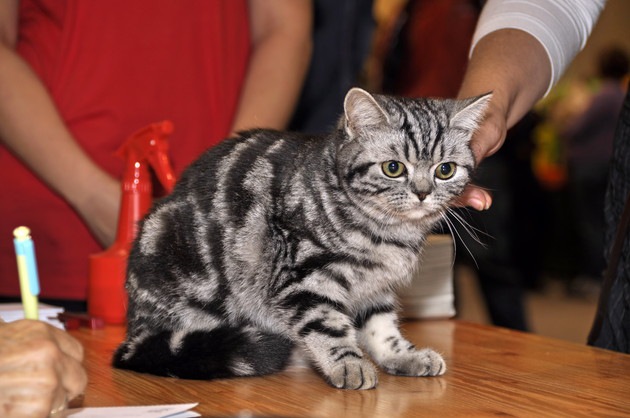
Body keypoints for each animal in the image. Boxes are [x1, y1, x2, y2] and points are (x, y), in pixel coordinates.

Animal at [112, 86, 494, 390]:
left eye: (445, 170)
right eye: (393, 168)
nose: (423, 193)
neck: (388, 233)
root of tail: (134, 331)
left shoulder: (375, 286)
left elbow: (381, 327)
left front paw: (402, 356)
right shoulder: (304, 276)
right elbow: (328, 325)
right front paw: (349, 363)